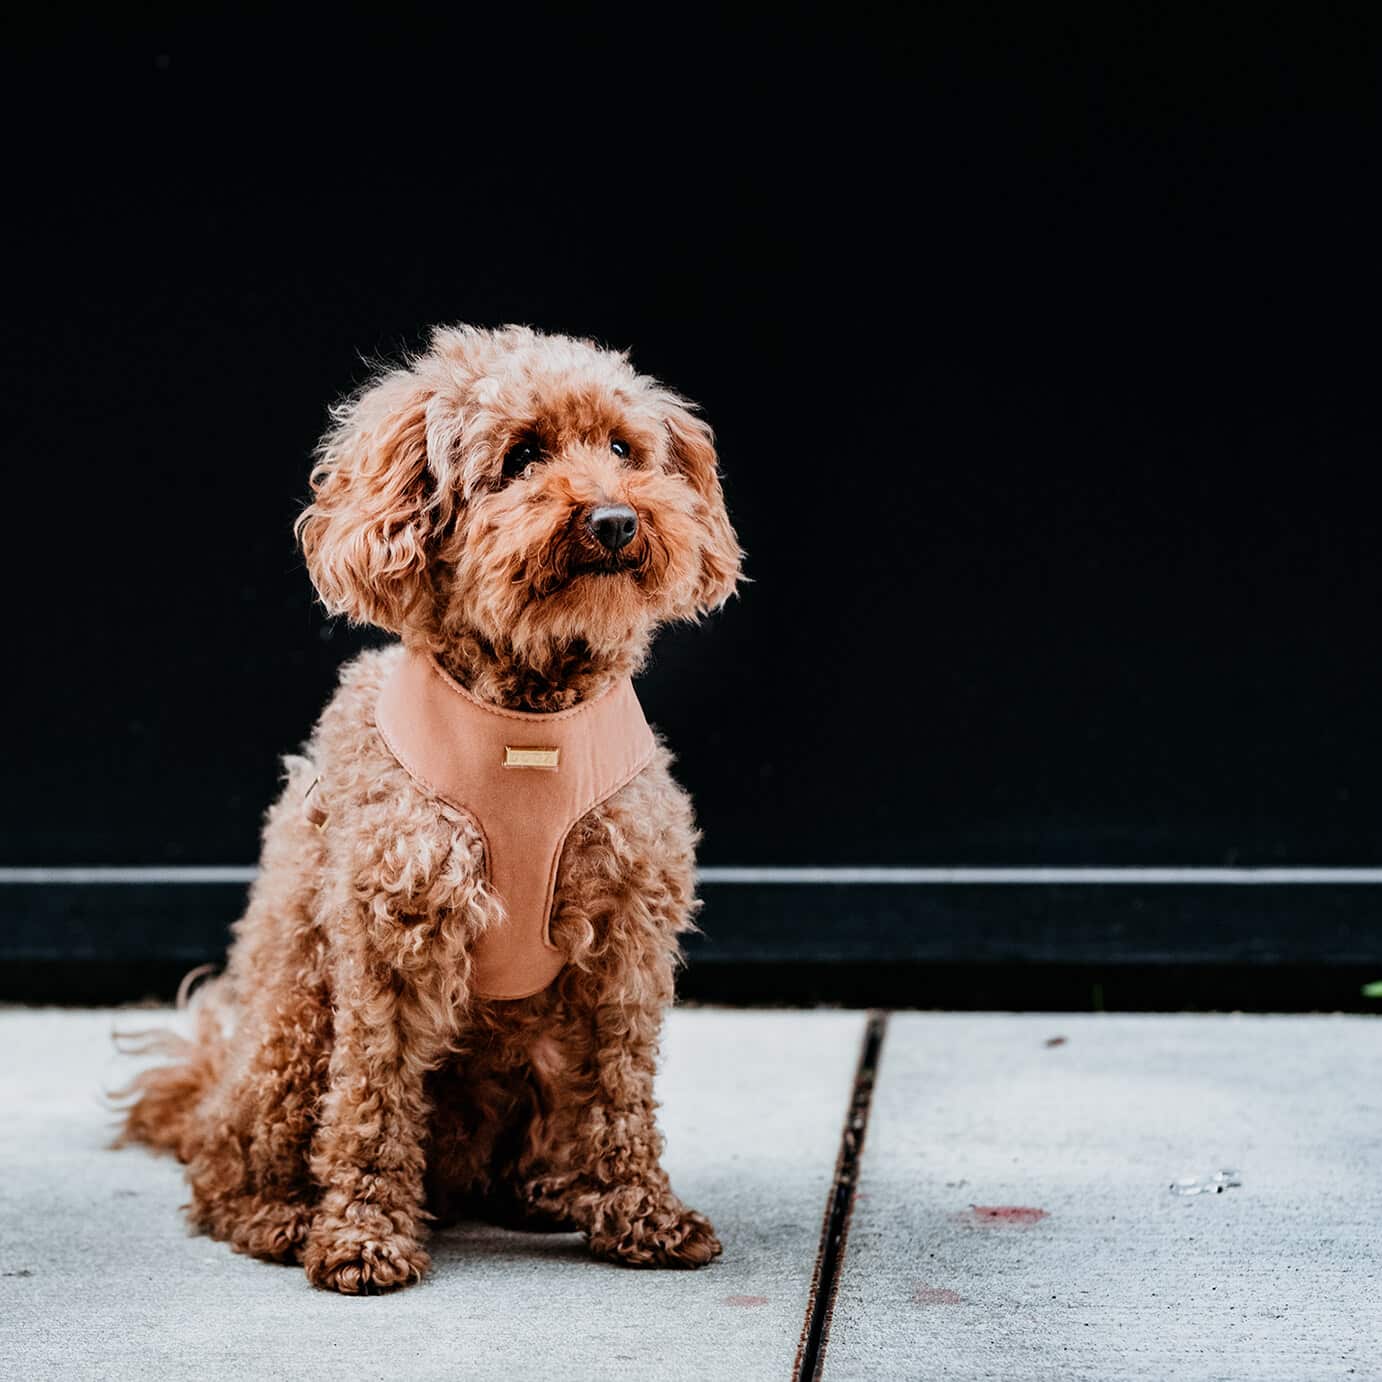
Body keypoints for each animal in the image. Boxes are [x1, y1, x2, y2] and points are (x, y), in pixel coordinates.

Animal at [118, 323, 746, 1293]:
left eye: (622, 450)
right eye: (521, 457)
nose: (615, 521)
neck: (531, 713)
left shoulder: (625, 944)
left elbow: (620, 1089)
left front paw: (642, 1213)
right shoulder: (391, 934)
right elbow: (372, 1096)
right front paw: (361, 1235)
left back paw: (549, 1192)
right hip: (294, 1027)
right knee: (229, 1166)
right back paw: (279, 1216)